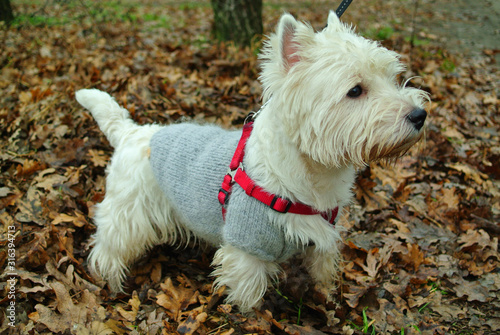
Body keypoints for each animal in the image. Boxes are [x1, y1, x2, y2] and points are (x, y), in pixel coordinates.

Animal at [76, 11, 428, 314]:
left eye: (392, 77)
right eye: (355, 90)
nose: (420, 115)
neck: (311, 178)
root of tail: (132, 133)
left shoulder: (322, 241)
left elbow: (322, 273)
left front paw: (326, 297)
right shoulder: (246, 249)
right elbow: (249, 295)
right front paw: (250, 317)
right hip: (128, 211)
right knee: (108, 245)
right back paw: (110, 281)